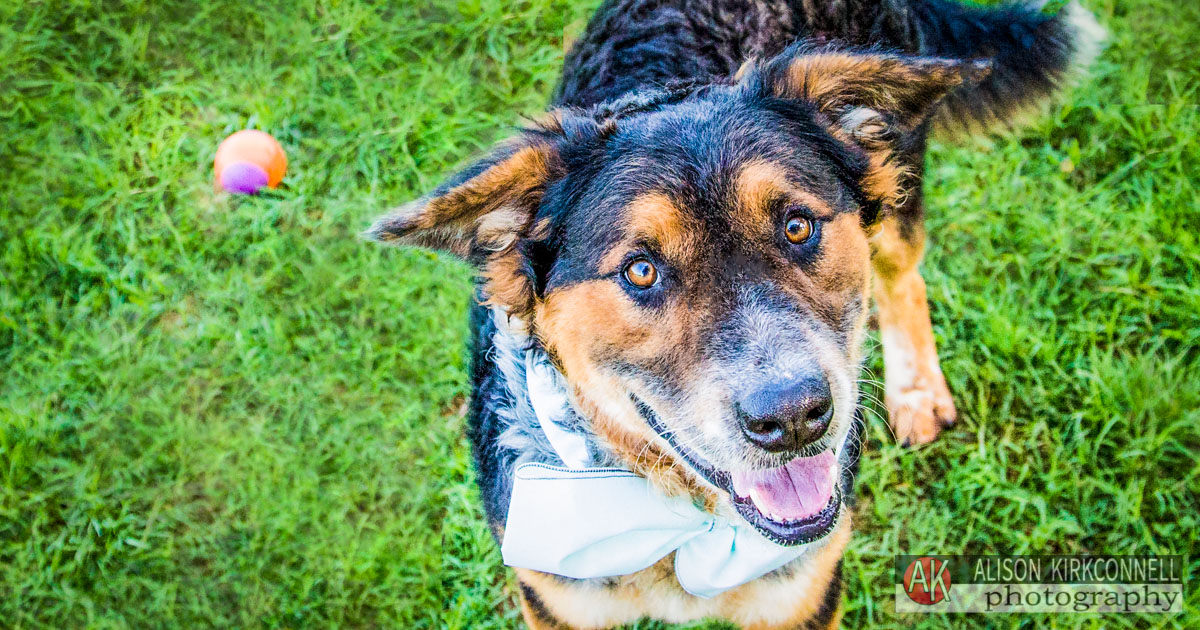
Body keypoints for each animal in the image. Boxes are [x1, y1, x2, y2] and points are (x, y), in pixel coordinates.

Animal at [367, 0, 1104, 624]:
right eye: (640, 270)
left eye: (798, 226)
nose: (795, 418)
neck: (682, 524)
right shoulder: (556, 601)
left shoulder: (805, 597)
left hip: (896, 191)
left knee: (903, 277)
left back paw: (917, 391)